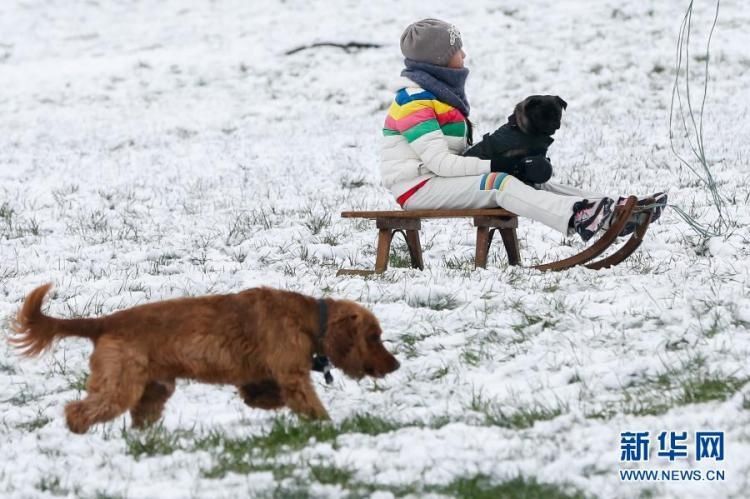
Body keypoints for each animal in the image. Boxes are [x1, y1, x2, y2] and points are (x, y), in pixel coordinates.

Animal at [10, 286, 400, 434]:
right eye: (375, 337)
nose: (396, 365)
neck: (306, 318)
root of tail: (105, 322)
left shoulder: (261, 377)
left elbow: (261, 396)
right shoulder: (293, 376)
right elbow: (310, 404)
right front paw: (329, 427)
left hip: (154, 390)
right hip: (120, 385)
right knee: (78, 410)